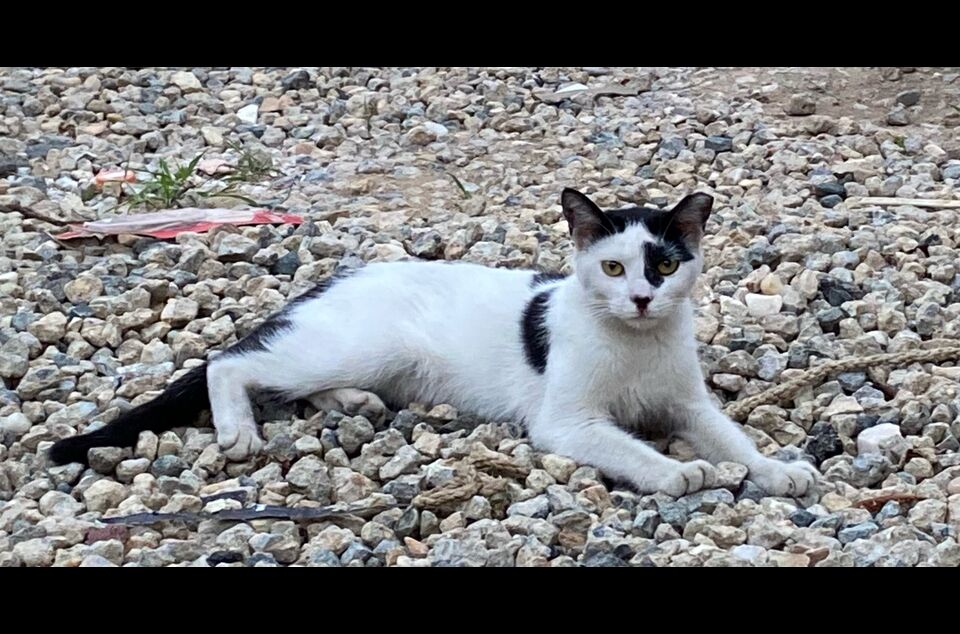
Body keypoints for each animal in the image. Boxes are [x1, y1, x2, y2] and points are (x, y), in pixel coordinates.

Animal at [49, 188, 819, 497]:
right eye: (611, 267)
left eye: (662, 265)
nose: (640, 299)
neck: (636, 344)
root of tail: (347, 272)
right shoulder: (566, 424)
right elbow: (627, 447)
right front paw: (671, 472)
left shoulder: (689, 406)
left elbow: (733, 437)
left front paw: (777, 471)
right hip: (358, 346)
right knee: (231, 360)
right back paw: (239, 429)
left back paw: (353, 404)